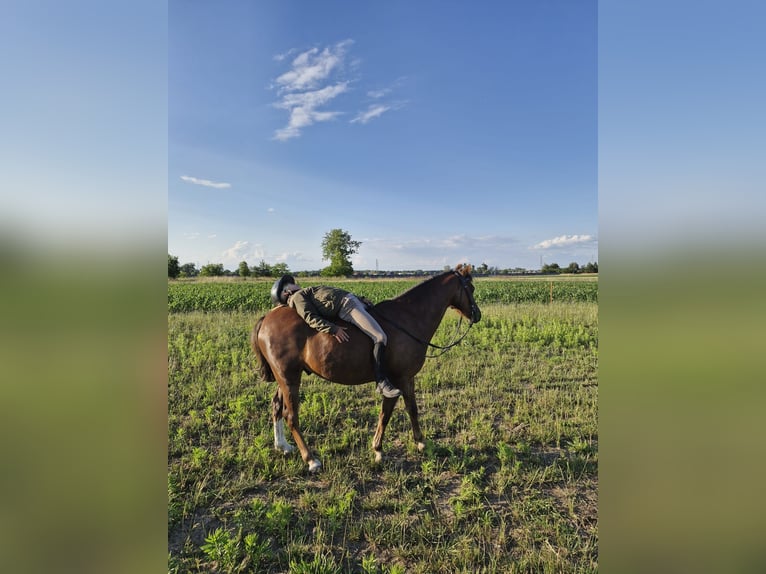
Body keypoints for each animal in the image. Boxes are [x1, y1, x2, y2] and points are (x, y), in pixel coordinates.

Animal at [252, 264, 480, 474]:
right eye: (470, 287)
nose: (477, 315)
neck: (408, 318)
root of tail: (267, 318)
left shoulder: (408, 378)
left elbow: (412, 409)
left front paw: (421, 442)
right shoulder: (398, 379)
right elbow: (386, 414)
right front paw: (378, 450)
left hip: (286, 378)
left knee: (276, 406)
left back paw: (282, 446)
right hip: (289, 378)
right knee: (291, 416)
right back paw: (311, 460)